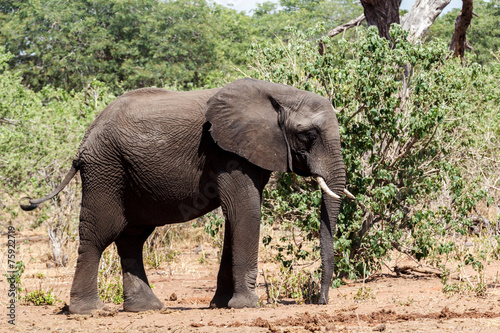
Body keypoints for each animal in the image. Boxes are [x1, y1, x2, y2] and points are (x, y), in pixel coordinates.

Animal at [20, 78, 352, 314]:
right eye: (308, 135)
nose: (319, 301)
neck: (278, 94)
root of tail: (85, 138)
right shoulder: (225, 151)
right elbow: (246, 212)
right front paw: (246, 305)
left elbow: (235, 217)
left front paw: (221, 305)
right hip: (105, 168)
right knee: (100, 233)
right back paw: (89, 311)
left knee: (132, 237)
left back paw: (146, 309)